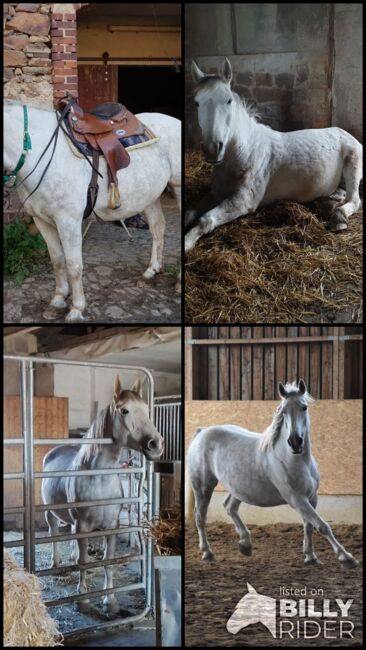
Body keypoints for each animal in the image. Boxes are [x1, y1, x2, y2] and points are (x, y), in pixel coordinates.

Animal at [4, 100, 182, 320]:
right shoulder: (42, 221)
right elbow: (57, 261)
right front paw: (57, 301)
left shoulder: (68, 221)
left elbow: (74, 266)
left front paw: (76, 309)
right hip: (150, 195)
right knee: (158, 228)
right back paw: (151, 273)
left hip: (177, 188)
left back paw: (179, 282)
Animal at [40, 374, 164, 612]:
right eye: (124, 410)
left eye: (146, 409)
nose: (156, 444)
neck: (99, 478)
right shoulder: (83, 527)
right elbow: (84, 562)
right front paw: (83, 598)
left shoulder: (111, 526)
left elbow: (108, 560)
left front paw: (110, 600)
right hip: (50, 513)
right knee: (54, 534)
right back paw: (57, 564)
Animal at [186, 58, 364, 251]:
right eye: (196, 102)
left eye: (228, 100)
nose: (212, 149)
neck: (244, 152)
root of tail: (343, 132)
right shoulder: (217, 194)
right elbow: (191, 212)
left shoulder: (244, 200)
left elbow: (205, 219)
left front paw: (186, 242)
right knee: (339, 193)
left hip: (353, 165)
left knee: (354, 199)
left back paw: (338, 218)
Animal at [187, 380, 358, 568]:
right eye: (283, 410)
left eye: (304, 407)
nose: (295, 442)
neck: (293, 459)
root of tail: (202, 432)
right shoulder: (297, 499)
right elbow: (322, 525)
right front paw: (346, 557)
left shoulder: (312, 497)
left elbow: (309, 525)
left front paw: (310, 556)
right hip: (203, 486)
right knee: (200, 517)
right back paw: (207, 552)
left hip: (239, 489)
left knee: (229, 507)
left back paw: (245, 544)